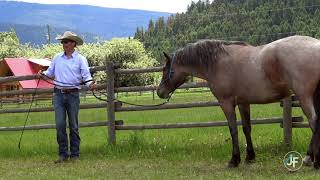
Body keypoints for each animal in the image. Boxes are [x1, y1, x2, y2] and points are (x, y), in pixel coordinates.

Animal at [158, 35, 320, 169]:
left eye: (166, 70)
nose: (160, 92)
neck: (217, 62)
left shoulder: (226, 103)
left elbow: (233, 129)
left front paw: (234, 160)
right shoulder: (244, 103)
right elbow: (246, 128)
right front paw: (250, 157)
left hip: (304, 96)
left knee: (314, 122)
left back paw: (314, 161)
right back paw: (309, 158)